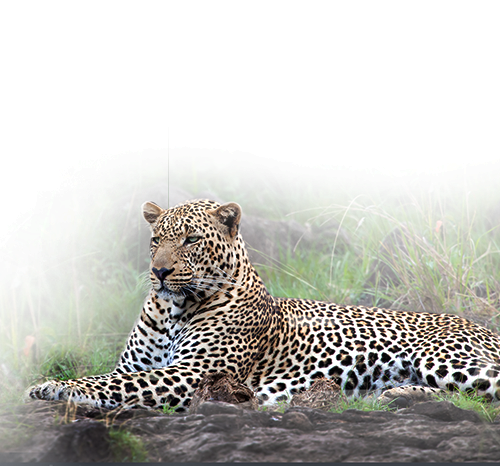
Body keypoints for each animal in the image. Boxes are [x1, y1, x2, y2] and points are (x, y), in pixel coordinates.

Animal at [28, 198, 500, 410]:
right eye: (156, 239)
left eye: (191, 239)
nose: (159, 272)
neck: (171, 311)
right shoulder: (137, 364)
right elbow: (117, 377)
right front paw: (56, 386)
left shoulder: (196, 374)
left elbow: (117, 384)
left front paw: (57, 387)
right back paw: (391, 393)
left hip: (442, 356)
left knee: (486, 392)